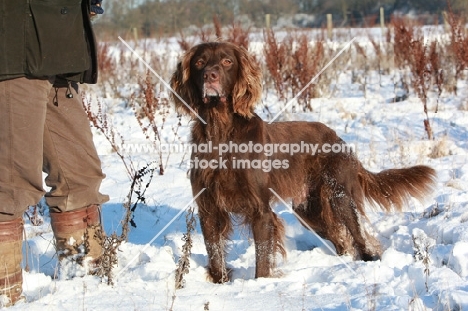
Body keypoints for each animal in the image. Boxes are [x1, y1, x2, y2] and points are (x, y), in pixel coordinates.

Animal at [170, 42, 436, 286]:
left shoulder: (260, 210)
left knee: (360, 237)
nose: (210, 76)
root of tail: (340, 140)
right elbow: (215, 254)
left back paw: (369, 262)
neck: (221, 131)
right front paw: (221, 284)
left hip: (340, 197)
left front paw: (260, 286)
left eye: (227, 62)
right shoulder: (208, 207)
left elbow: (263, 259)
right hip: (308, 211)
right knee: (341, 239)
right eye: (199, 62)